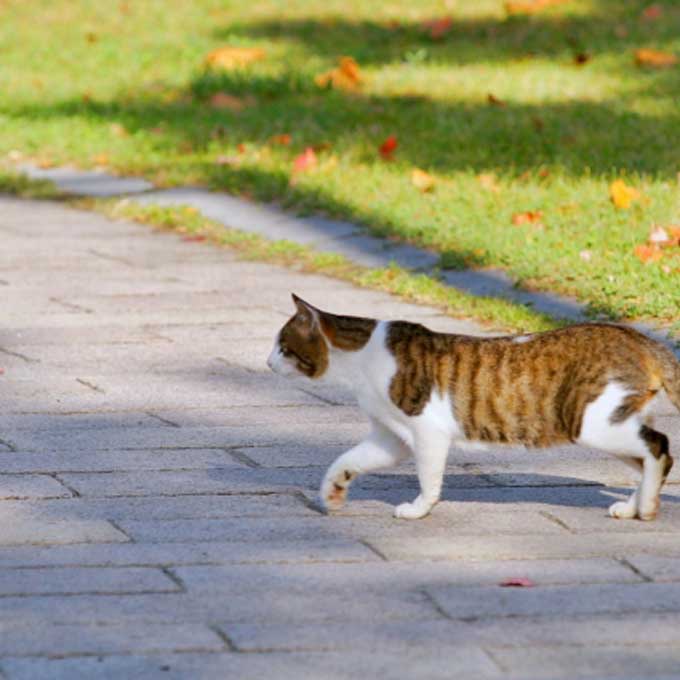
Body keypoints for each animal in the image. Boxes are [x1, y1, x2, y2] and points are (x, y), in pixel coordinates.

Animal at [266, 294, 680, 524]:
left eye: (284, 346)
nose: (267, 363)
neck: (362, 358)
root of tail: (638, 337)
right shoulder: (390, 437)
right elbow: (348, 460)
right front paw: (333, 492)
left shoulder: (427, 430)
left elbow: (429, 478)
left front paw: (419, 510)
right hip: (614, 424)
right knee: (651, 456)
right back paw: (636, 506)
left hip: (592, 423)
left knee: (659, 447)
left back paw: (646, 506)